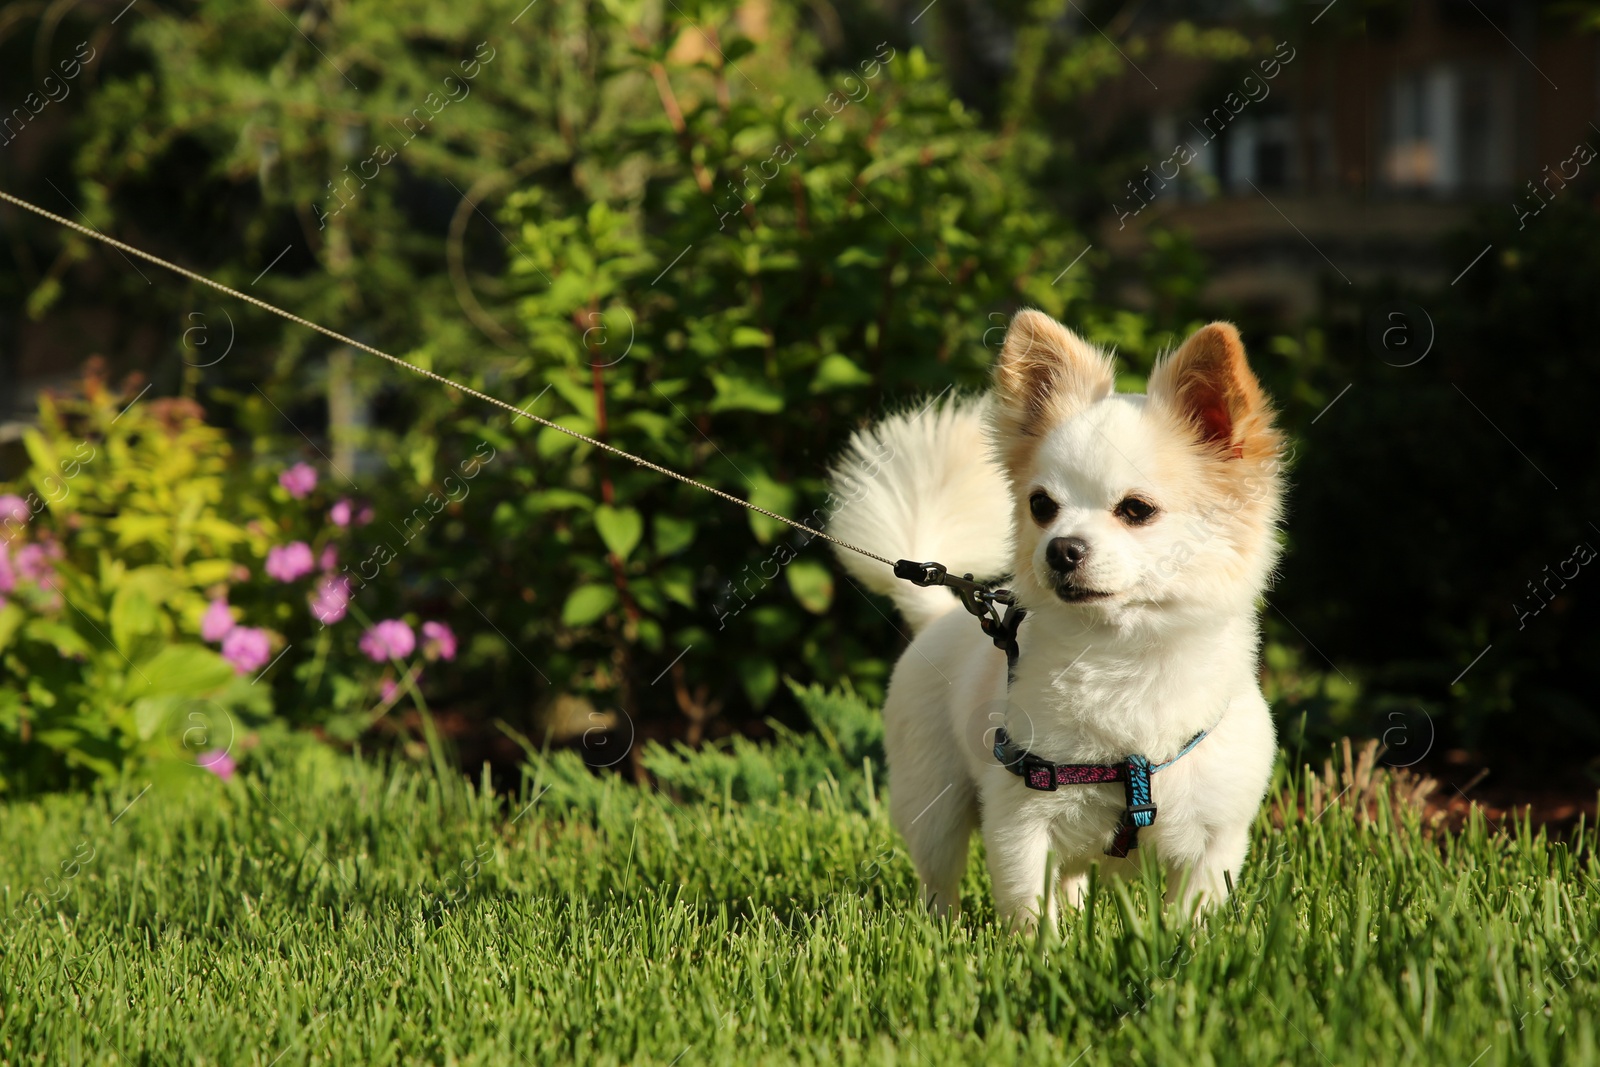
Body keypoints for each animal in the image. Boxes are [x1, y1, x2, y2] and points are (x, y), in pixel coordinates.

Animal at [832, 308, 1280, 927]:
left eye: (1136, 510)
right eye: (1041, 506)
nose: (1061, 549)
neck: (1122, 661)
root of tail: (939, 613)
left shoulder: (1217, 840)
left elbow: (1192, 915)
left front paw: (1184, 945)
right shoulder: (1020, 821)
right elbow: (1029, 909)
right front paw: (1038, 949)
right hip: (933, 800)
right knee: (939, 879)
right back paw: (942, 931)